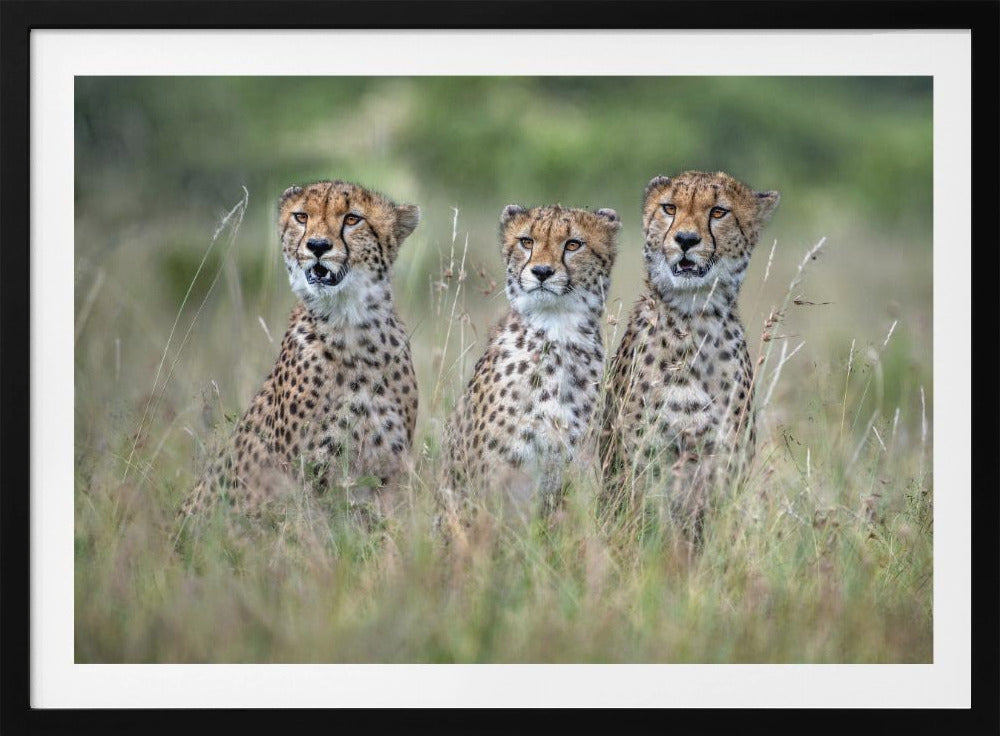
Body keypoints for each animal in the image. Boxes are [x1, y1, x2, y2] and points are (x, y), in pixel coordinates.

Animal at [179, 180, 421, 521]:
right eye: (301, 216)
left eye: (352, 219)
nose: (317, 246)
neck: (350, 324)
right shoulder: (304, 475)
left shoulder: (389, 474)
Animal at [599, 170, 779, 540]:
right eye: (670, 208)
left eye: (718, 212)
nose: (685, 239)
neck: (693, 317)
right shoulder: (644, 464)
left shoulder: (723, 465)